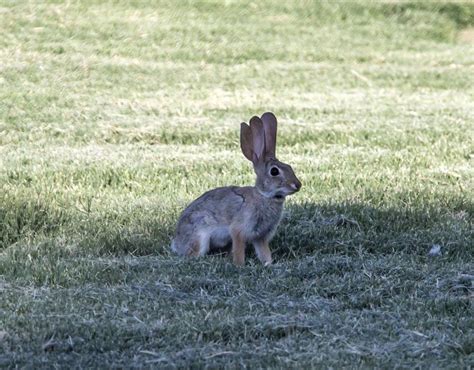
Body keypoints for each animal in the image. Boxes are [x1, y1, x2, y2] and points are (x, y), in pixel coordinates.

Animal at [172, 112, 302, 266]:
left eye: (289, 166)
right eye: (274, 171)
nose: (298, 185)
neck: (264, 196)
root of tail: (176, 243)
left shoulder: (260, 236)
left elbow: (264, 251)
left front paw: (268, 264)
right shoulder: (238, 230)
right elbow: (239, 247)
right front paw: (240, 265)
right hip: (200, 233)